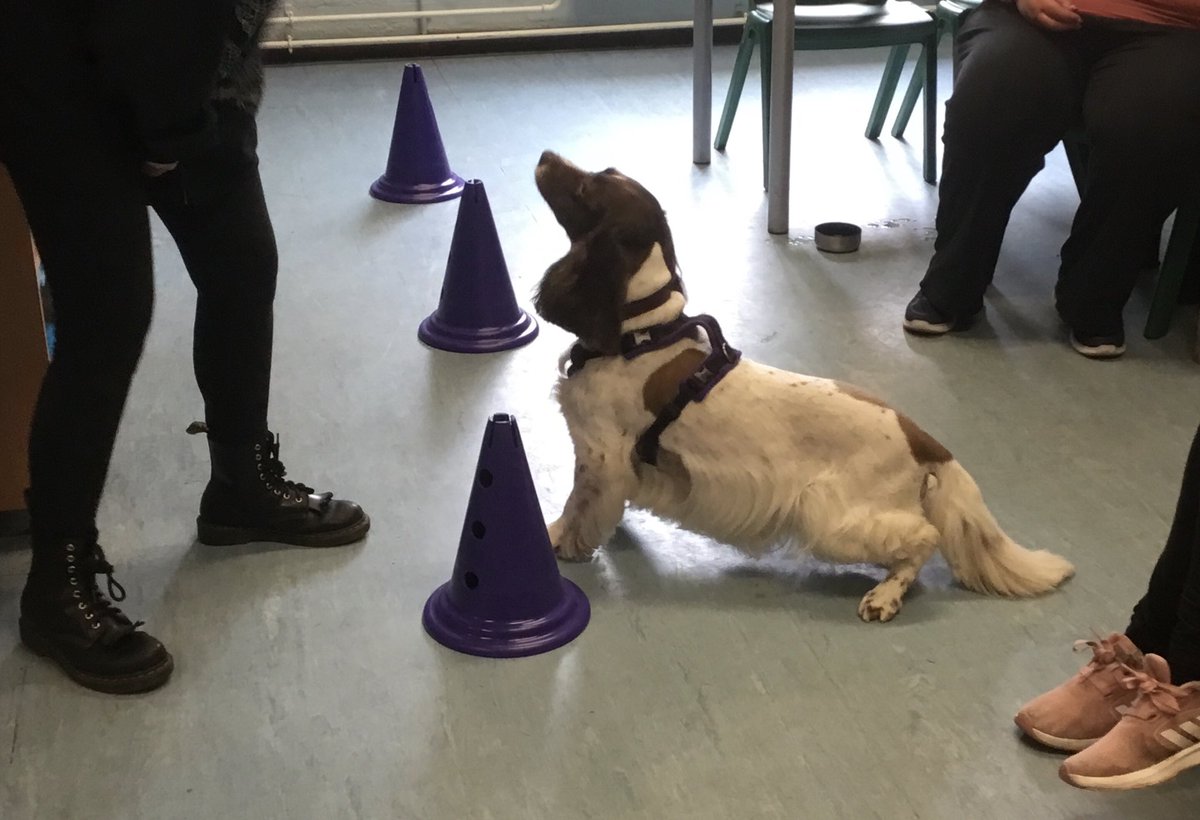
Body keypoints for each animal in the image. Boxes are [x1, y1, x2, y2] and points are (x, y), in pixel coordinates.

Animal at [530, 150, 1075, 624]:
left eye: (586, 188)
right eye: (602, 173)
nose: (545, 156)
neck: (639, 331)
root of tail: (922, 437)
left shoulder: (600, 453)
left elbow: (577, 507)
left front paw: (558, 542)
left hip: (833, 517)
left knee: (923, 537)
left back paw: (885, 597)